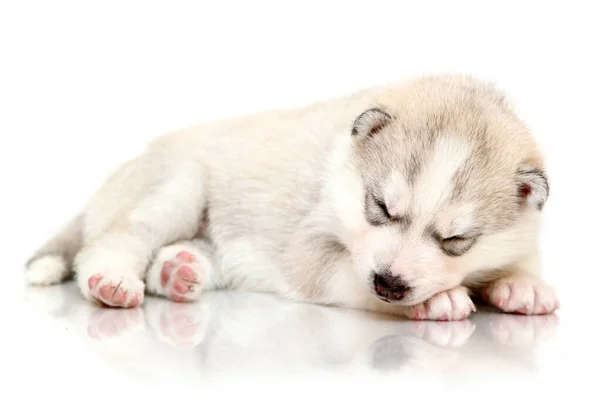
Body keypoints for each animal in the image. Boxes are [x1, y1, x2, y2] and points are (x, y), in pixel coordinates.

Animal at [23, 73, 556, 320]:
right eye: (380, 208)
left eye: (456, 240)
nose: (390, 283)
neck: (338, 166)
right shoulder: (310, 246)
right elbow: (348, 276)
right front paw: (439, 300)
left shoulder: (523, 231)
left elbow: (522, 257)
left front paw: (520, 284)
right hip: (179, 182)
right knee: (113, 241)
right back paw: (111, 280)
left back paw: (179, 271)